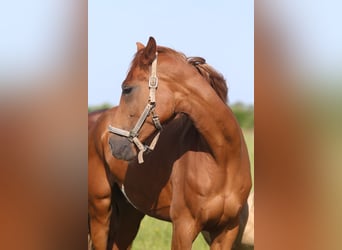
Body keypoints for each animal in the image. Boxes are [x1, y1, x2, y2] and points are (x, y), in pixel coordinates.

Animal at [89, 36, 251, 249]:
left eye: (127, 89)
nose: (113, 144)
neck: (223, 160)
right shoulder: (184, 226)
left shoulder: (226, 231)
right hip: (100, 209)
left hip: (129, 214)